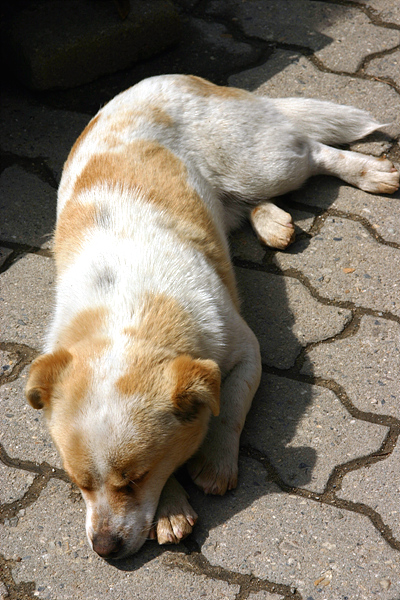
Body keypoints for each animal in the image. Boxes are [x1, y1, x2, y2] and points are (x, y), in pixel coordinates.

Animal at [26, 74, 398, 556]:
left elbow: (229, 407)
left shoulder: (248, 352)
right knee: (248, 203)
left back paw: (370, 173)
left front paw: (215, 460)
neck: (128, 313)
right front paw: (170, 506)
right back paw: (272, 222)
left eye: (135, 478)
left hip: (265, 162)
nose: (105, 549)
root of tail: (181, 77)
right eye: (80, 483)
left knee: (316, 150)